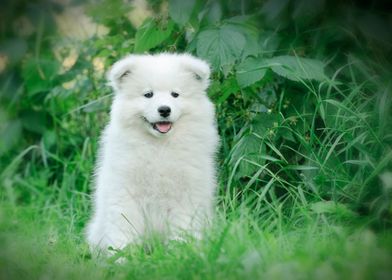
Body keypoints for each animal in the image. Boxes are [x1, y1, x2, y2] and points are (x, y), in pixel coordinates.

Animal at [86, 52, 219, 252]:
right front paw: (122, 255)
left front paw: (181, 252)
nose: (164, 109)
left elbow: (182, 227)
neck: (159, 147)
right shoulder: (125, 193)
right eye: (148, 94)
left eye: (175, 94)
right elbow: (124, 229)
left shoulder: (186, 195)